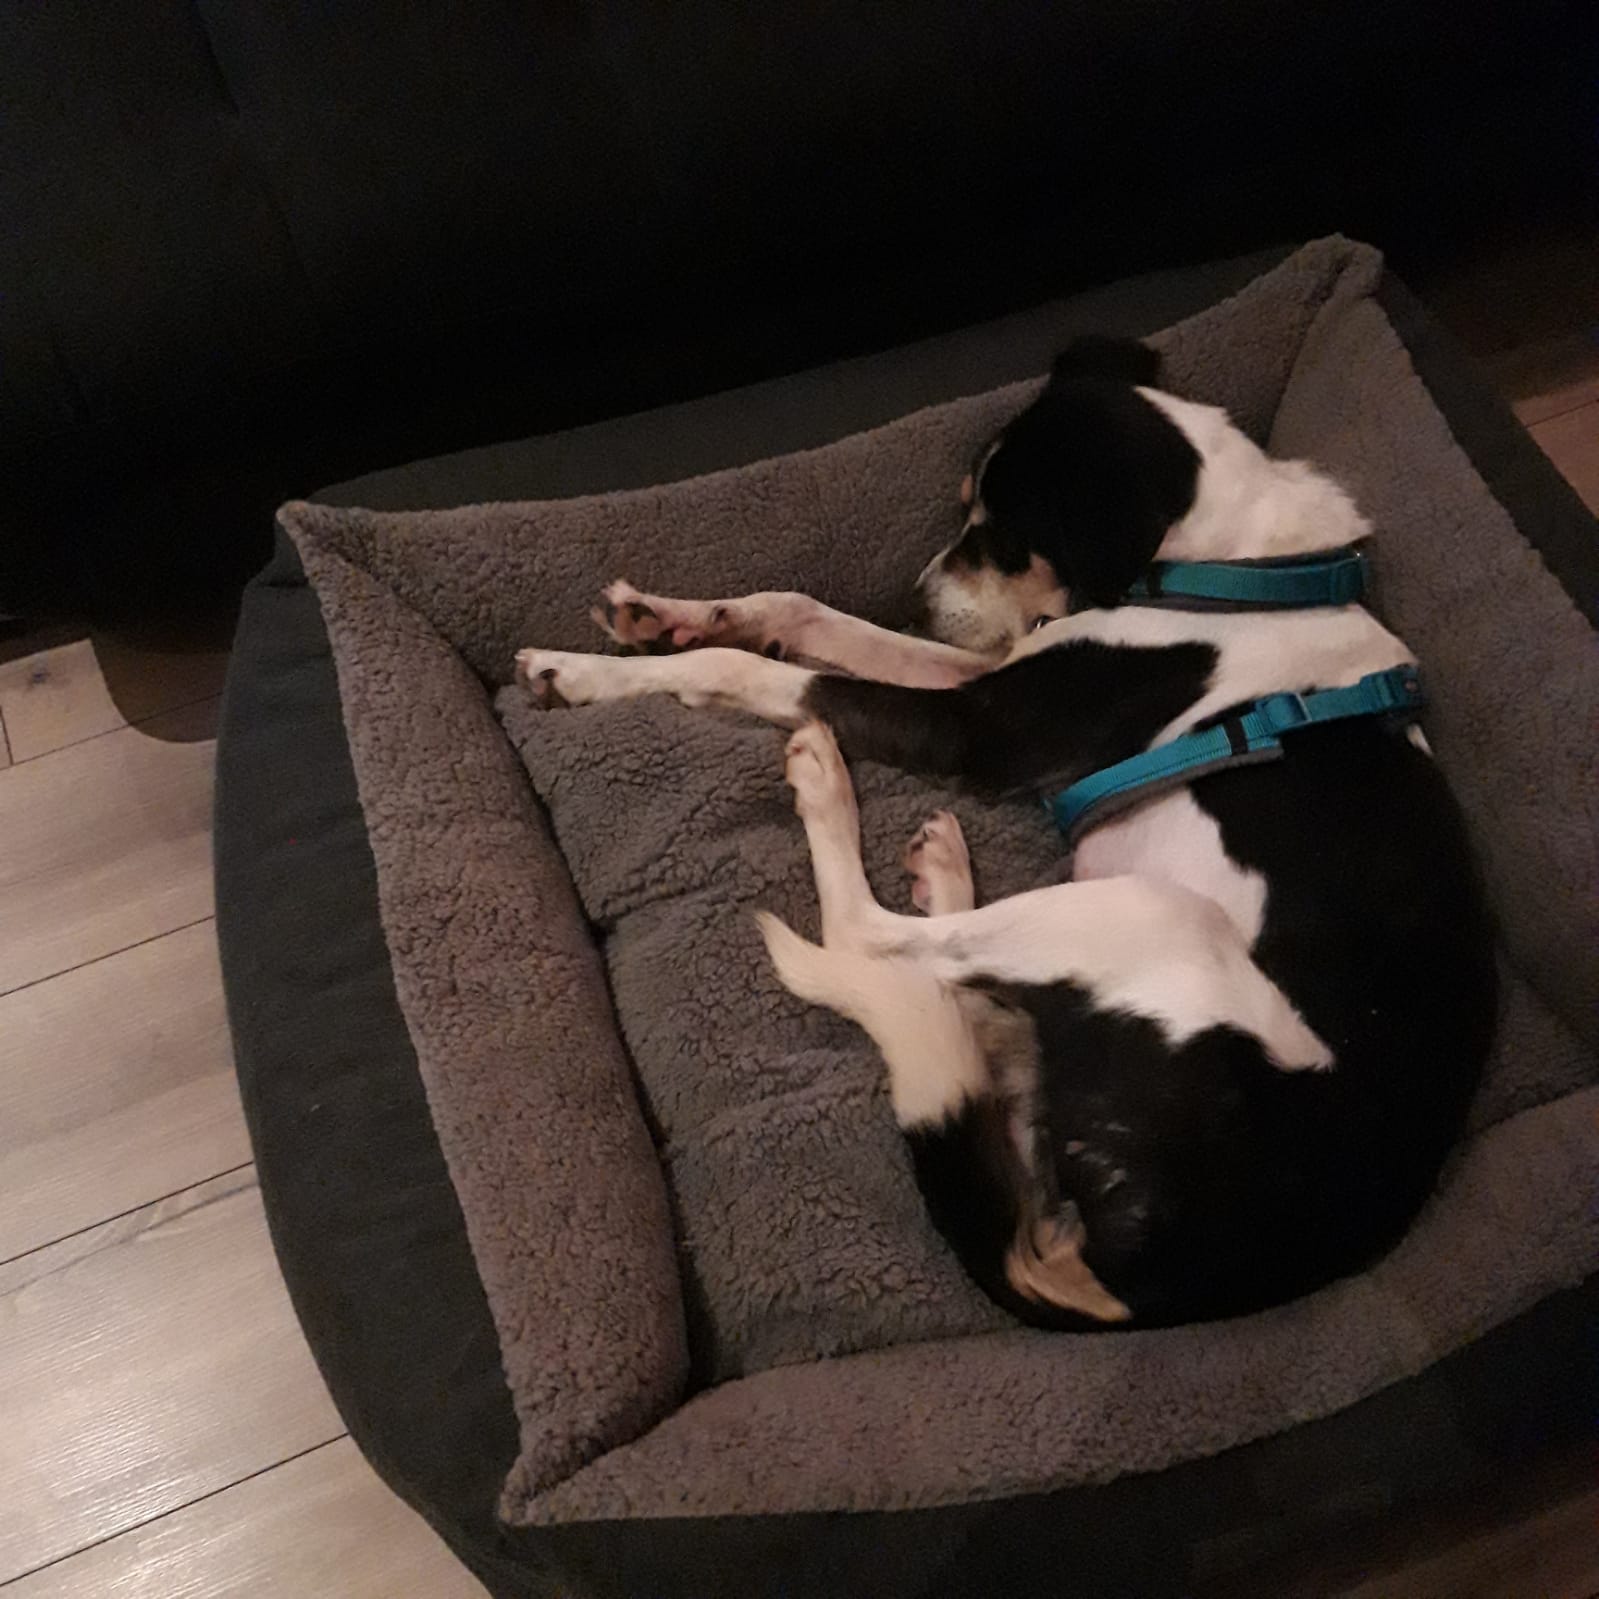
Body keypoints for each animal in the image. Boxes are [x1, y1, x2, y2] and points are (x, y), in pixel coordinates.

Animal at [515, 337, 1496, 1330]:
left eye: (1005, 537)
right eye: (964, 514)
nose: (913, 606)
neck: (1231, 575)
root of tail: (1153, 1280)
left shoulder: (975, 728)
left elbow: (754, 671)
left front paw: (590, 673)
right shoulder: (991, 673)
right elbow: (803, 611)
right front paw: (660, 619)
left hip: (1153, 917)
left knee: (873, 943)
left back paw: (826, 787)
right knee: (962, 1001)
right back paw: (942, 871)